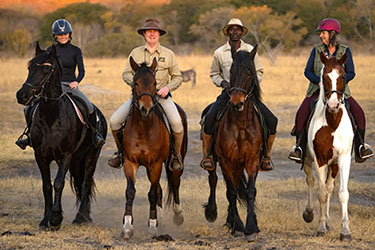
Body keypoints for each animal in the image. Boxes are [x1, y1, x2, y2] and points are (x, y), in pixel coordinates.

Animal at [15, 42, 107, 230]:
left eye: (45, 70)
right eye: (29, 68)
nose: (22, 95)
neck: (52, 116)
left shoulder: (66, 155)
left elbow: (58, 183)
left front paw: (56, 218)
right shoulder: (41, 155)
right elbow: (47, 186)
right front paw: (45, 220)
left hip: (91, 155)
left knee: (86, 182)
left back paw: (81, 217)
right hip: (75, 159)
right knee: (79, 182)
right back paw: (83, 216)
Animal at [120, 56, 188, 240]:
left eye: (154, 83)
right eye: (135, 82)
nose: (146, 108)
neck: (144, 128)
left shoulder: (155, 164)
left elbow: (151, 194)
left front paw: (151, 226)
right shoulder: (130, 162)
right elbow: (130, 191)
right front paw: (127, 226)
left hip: (174, 164)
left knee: (175, 183)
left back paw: (178, 216)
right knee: (159, 190)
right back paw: (161, 220)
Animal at [204, 45, 262, 242]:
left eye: (250, 73)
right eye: (231, 71)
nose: (236, 102)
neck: (241, 123)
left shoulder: (252, 160)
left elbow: (249, 191)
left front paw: (251, 227)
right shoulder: (225, 160)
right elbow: (231, 191)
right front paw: (238, 224)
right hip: (216, 161)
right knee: (214, 180)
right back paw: (212, 213)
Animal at [304, 52, 354, 240]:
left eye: (343, 76)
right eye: (324, 77)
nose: (333, 105)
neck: (332, 122)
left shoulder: (343, 158)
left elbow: (342, 193)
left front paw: (345, 230)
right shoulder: (320, 160)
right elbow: (321, 193)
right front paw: (320, 227)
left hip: (334, 165)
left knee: (330, 186)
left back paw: (328, 222)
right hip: (308, 160)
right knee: (311, 182)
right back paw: (310, 213)